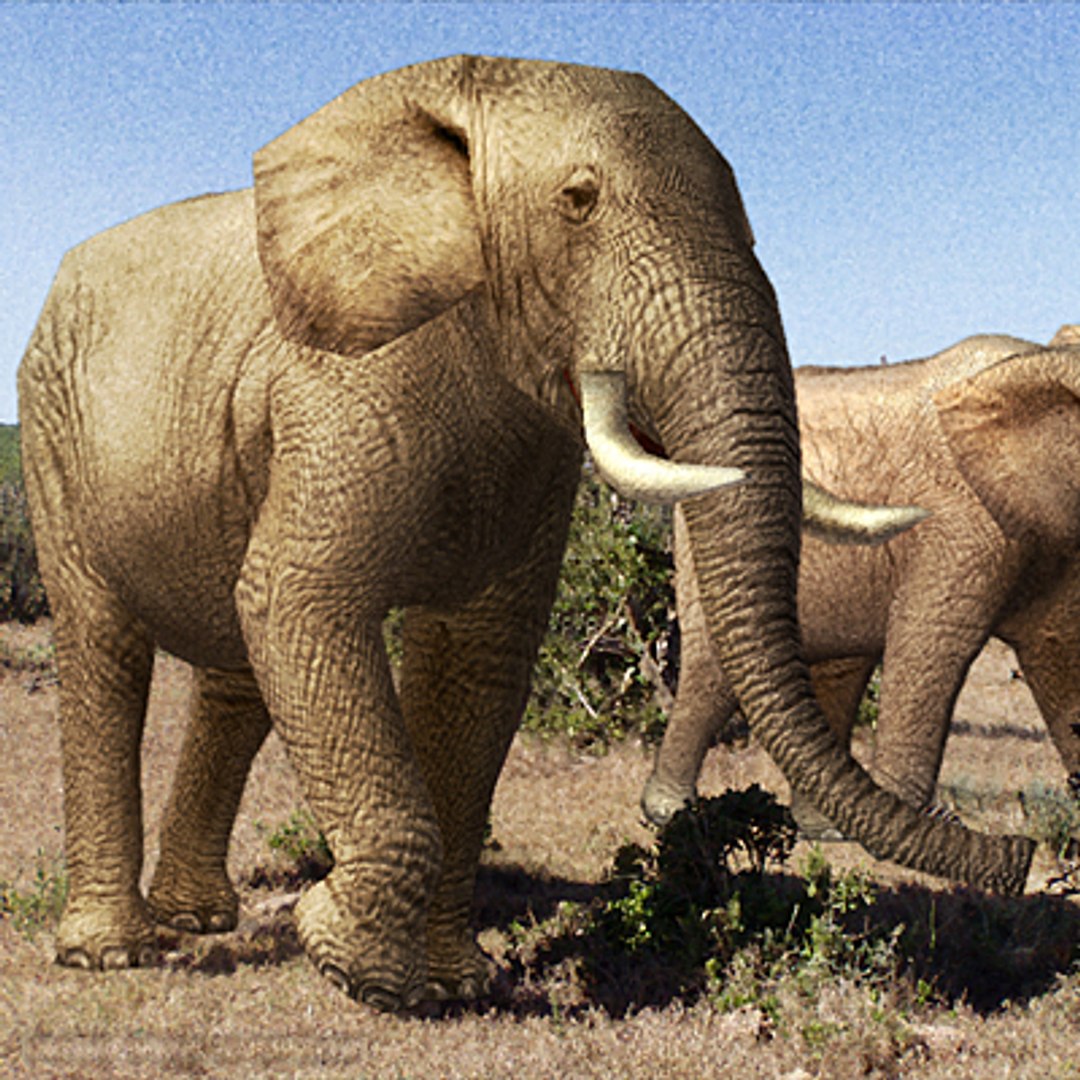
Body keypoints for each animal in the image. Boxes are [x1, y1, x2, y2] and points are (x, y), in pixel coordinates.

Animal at [17, 56, 1034, 1011]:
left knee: (233, 674)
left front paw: (452, 987)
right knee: (105, 647)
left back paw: (198, 920)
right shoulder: (333, 390)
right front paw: (345, 956)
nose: (1017, 856)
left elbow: (480, 657)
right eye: (578, 202)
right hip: (52, 424)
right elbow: (300, 600)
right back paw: (110, 952)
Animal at [643, 330, 1080, 836]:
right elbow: (931, 642)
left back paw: (824, 828)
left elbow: (1059, 654)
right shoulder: (959, 523)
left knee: (840, 670)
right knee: (712, 670)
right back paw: (671, 815)